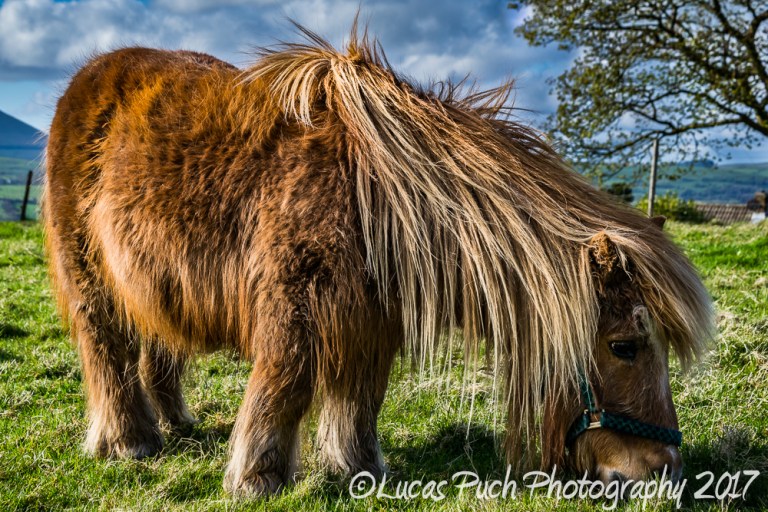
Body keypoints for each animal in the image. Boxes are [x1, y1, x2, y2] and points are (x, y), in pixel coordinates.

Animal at [43, 27, 713, 496]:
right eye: (626, 347)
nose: (667, 471)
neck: (381, 199)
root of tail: (87, 78)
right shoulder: (294, 311)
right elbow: (284, 387)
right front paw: (258, 477)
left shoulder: (369, 320)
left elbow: (361, 396)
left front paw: (356, 468)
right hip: (92, 284)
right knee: (107, 352)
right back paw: (131, 442)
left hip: (153, 281)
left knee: (158, 348)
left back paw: (177, 423)